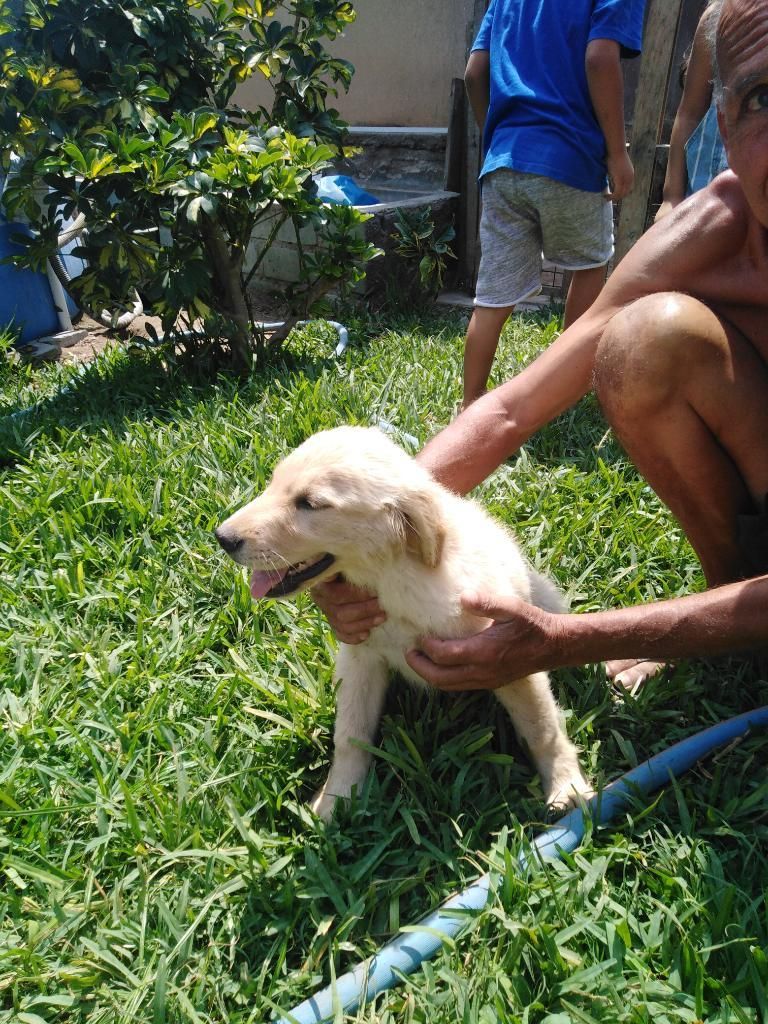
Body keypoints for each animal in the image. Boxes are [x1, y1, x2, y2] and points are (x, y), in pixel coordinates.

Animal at [219, 428, 593, 819]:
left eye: (309, 503)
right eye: (274, 483)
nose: (222, 538)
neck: (390, 578)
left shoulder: (511, 657)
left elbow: (542, 727)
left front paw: (566, 785)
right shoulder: (360, 658)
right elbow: (349, 734)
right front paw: (337, 798)